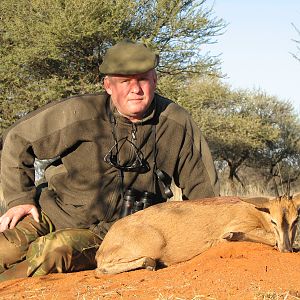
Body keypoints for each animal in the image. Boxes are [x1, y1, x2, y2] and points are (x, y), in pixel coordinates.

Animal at [95, 196, 300, 276]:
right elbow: (270, 238)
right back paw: (149, 263)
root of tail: (102, 247)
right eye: (274, 221)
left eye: (296, 219)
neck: (257, 211)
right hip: (153, 244)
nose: (287, 249)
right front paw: (231, 236)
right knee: (101, 269)